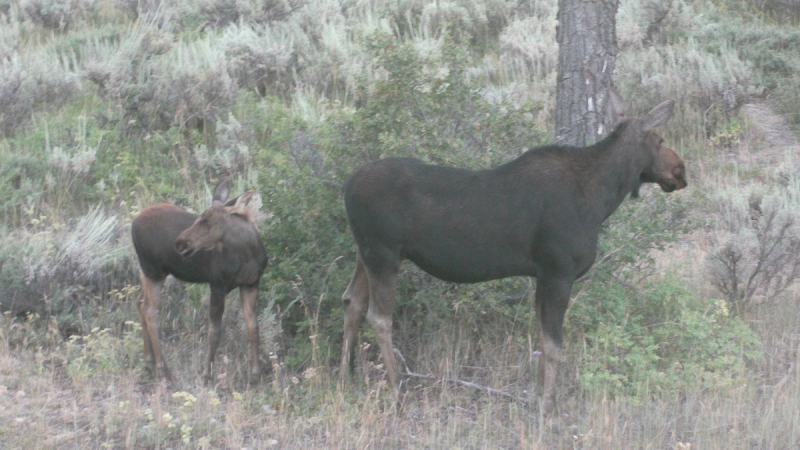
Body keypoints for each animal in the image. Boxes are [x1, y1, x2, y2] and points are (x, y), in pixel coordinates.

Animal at [131, 178, 268, 384]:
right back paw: (163, 370)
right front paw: (206, 374)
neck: (247, 254)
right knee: (151, 311)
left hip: (151, 273)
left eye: (207, 221)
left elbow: (254, 327)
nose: (180, 243)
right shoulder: (218, 284)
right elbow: (215, 331)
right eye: (199, 218)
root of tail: (132, 224)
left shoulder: (250, 284)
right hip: (153, 271)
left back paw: (150, 363)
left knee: (140, 303)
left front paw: (255, 375)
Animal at [340, 98, 684, 414]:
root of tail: (346, 185)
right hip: (383, 253)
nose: (681, 170)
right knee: (379, 317)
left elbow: (541, 341)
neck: (602, 199)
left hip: (364, 252)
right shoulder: (558, 270)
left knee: (351, 301)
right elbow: (553, 344)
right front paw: (547, 406)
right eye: (659, 140)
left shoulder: (542, 275)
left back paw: (346, 375)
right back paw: (397, 390)